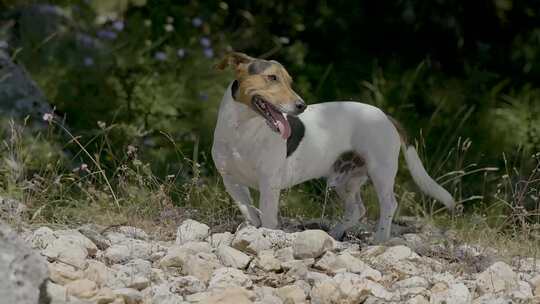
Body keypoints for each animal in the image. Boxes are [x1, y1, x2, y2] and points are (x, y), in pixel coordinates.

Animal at [212, 52, 456, 242]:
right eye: (271, 77)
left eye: (289, 81)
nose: (301, 105)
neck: (242, 131)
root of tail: (384, 115)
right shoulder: (231, 182)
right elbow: (249, 210)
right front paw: (252, 226)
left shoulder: (269, 183)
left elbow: (269, 218)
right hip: (347, 181)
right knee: (357, 210)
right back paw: (336, 233)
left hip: (382, 171)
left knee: (389, 204)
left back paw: (379, 238)